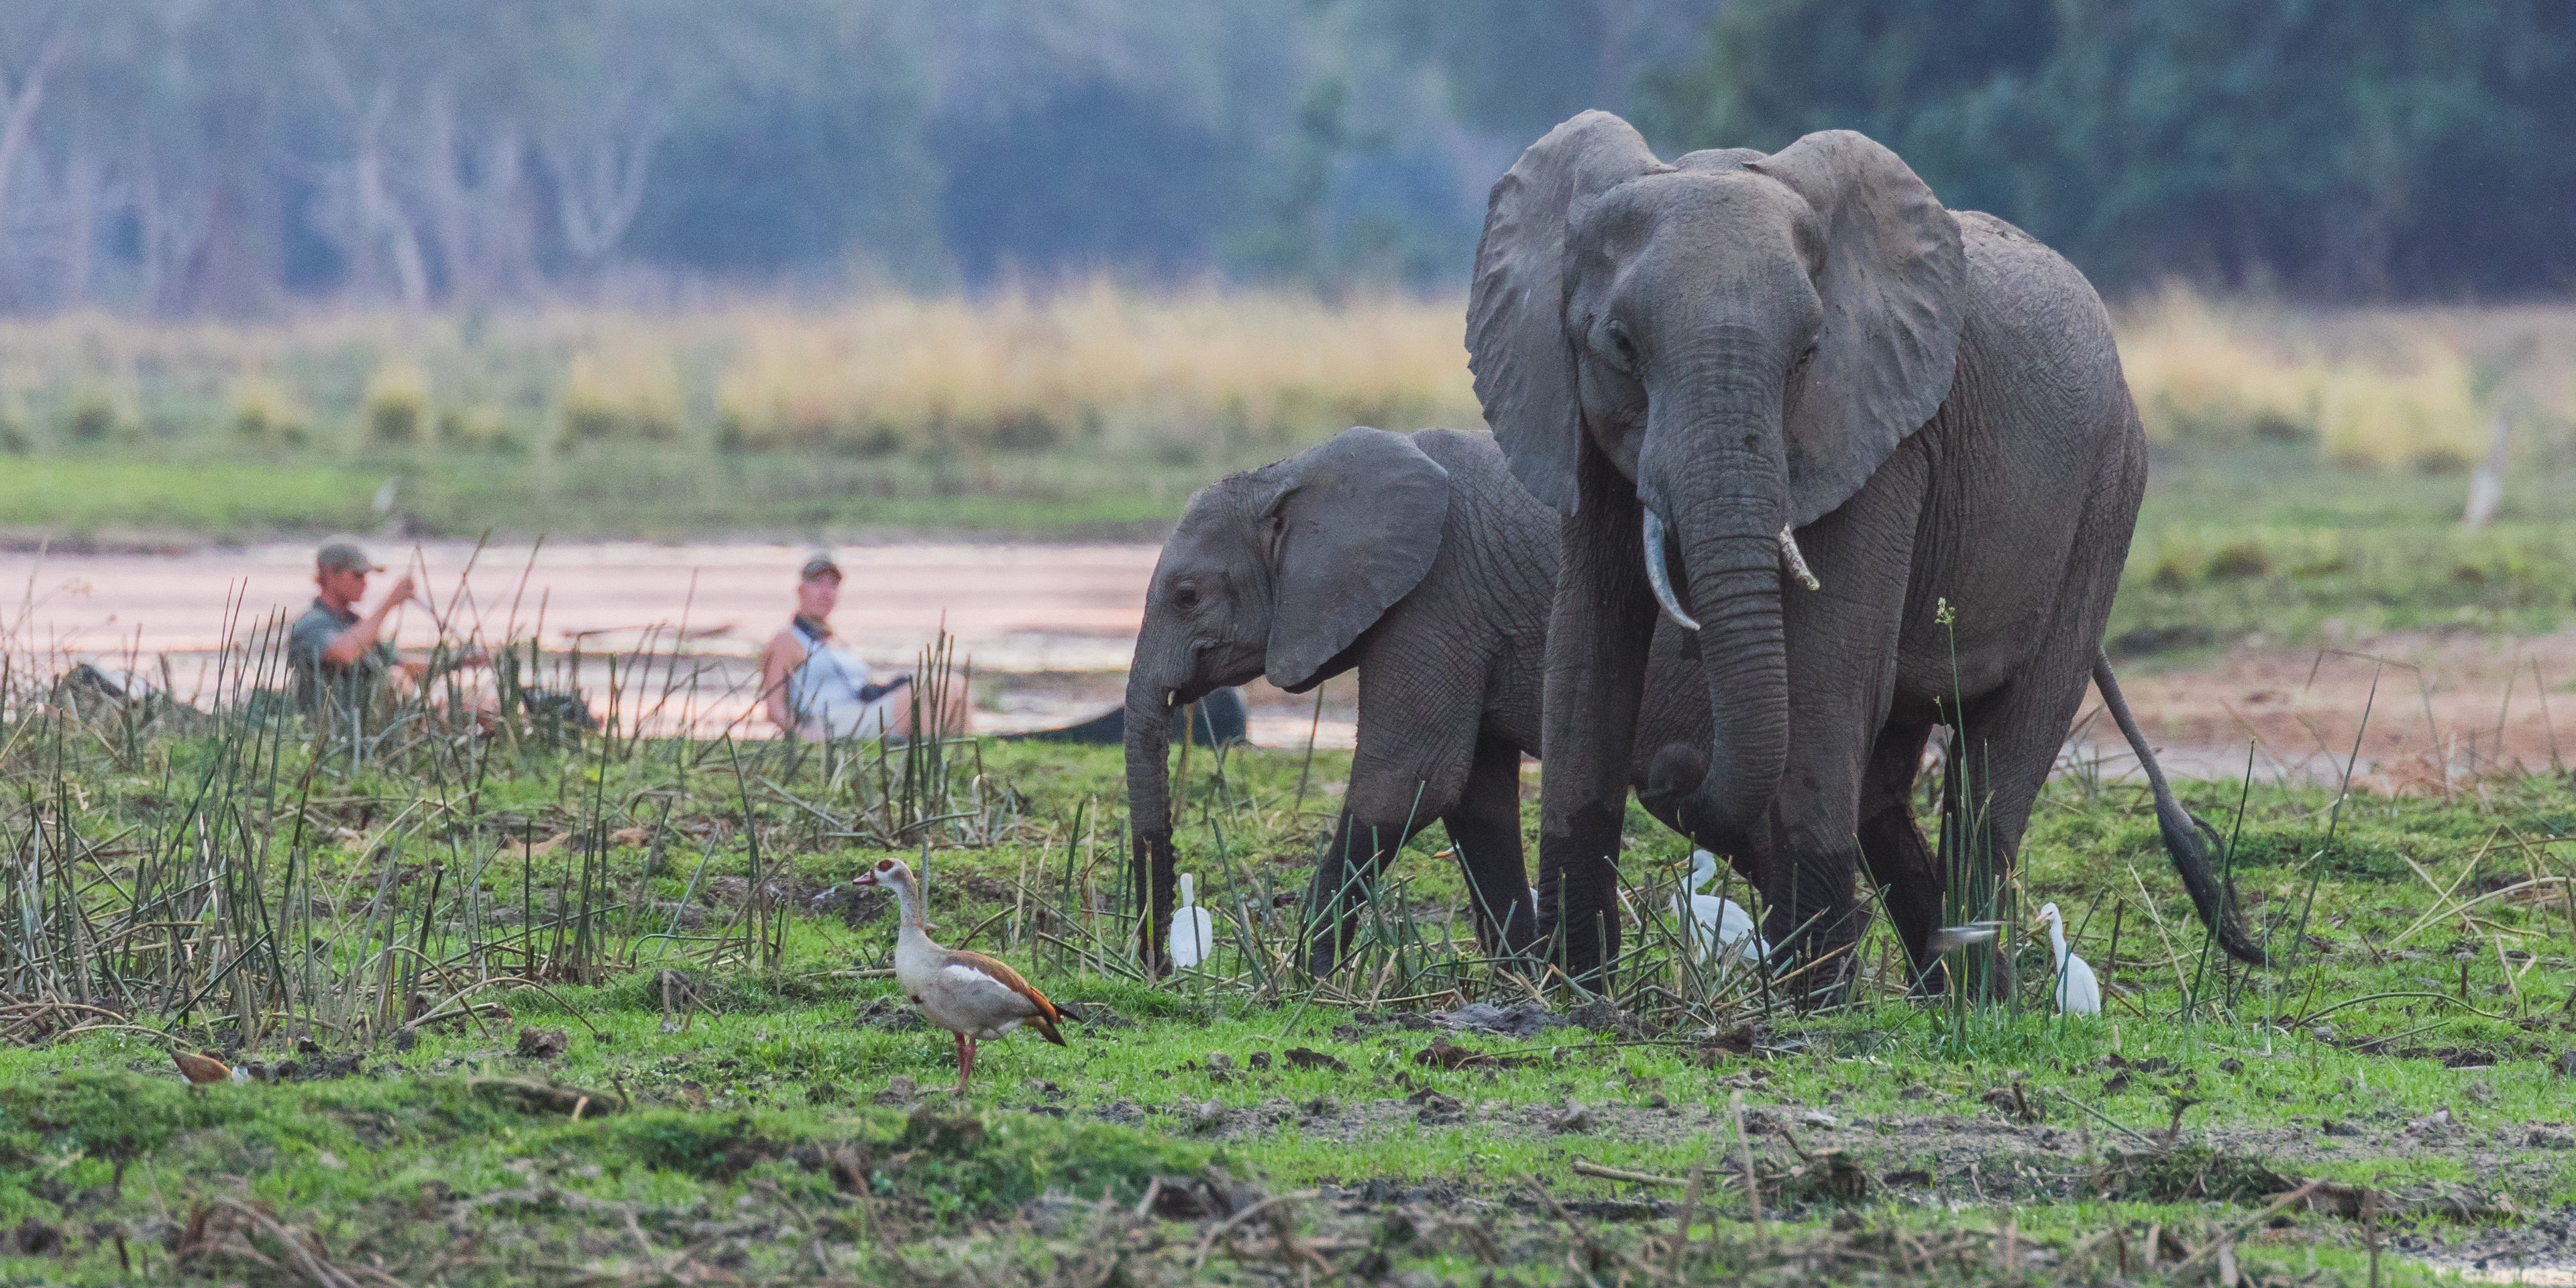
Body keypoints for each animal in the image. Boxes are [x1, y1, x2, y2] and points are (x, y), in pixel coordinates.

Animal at [1122, 425, 1717, 976]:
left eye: (1187, 596)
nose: (1159, 969)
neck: (1292, 475)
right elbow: (1477, 804)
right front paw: (1523, 982)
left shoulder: (1438, 596)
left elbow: (1408, 783)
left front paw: (1313, 980)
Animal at [1465, 111, 2263, 989]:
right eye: (1620, 346)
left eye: (1810, 353)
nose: (1676, 766)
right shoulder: (1572, 415)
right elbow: (1586, 649)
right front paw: (1573, 988)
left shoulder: (1889, 438)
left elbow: (1827, 668)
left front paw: (1809, 1002)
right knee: (1885, 779)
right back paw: (1949, 981)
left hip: (2108, 494)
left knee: (1997, 767)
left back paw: (1974, 998)